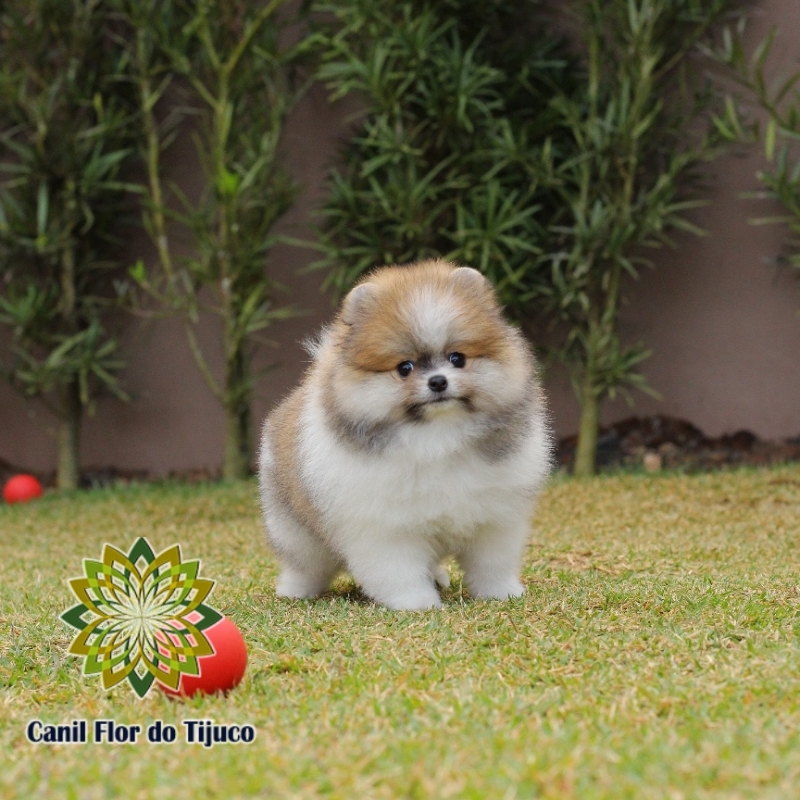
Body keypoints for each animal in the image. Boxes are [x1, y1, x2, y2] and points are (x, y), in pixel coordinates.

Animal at [258, 260, 552, 608]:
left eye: (457, 358)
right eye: (405, 368)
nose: (438, 381)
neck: (439, 436)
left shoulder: (495, 518)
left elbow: (492, 564)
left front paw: (502, 594)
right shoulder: (386, 530)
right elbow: (400, 573)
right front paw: (418, 603)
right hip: (296, 530)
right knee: (305, 564)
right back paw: (296, 590)